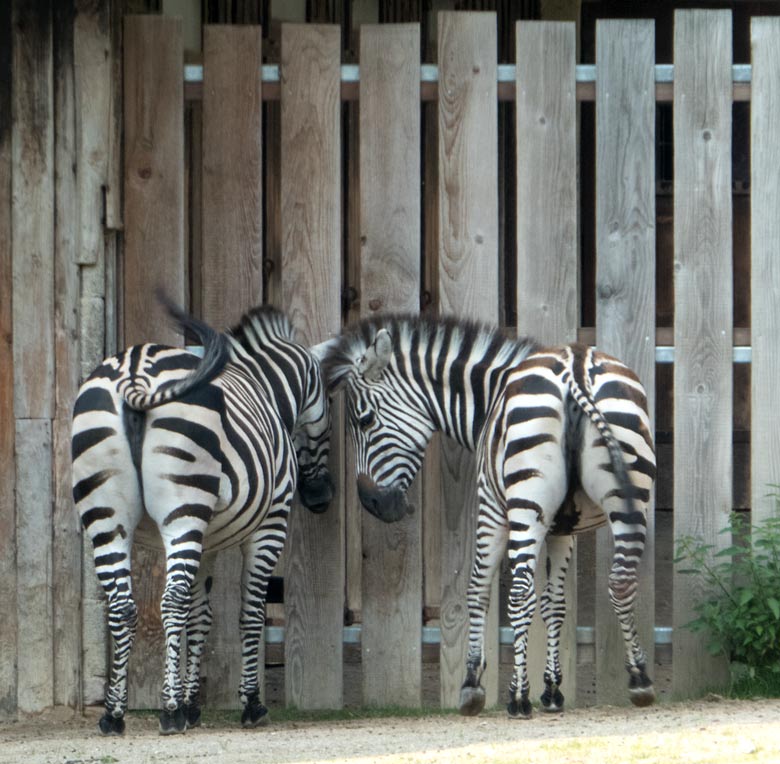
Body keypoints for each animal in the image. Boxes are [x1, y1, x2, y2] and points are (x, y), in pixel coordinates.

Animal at [74, 302, 338, 736]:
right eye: (329, 405)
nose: (321, 498)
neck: (265, 389)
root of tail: (134, 369)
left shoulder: (207, 541)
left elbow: (200, 617)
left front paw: (192, 704)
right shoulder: (270, 525)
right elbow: (250, 614)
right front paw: (249, 704)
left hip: (107, 517)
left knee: (123, 605)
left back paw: (114, 714)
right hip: (182, 511)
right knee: (169, 602)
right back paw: (167, 713)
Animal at [322, 314, 660, 720]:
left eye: (364, 420)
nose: (372, 503)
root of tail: (576, 368)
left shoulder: (492, 510)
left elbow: (479, 590)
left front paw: (474, 684)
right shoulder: (562, 529)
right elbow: (555, 603)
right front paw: (552, 690)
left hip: (526, 504)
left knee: (520, 591)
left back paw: (517, 698)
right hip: (629, 496)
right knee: (621, 581)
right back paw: (640, 680)